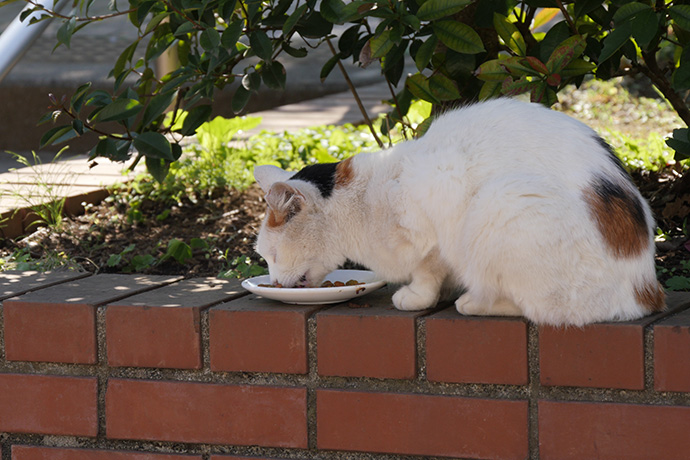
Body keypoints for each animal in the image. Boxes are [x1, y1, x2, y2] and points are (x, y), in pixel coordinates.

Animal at [251, 98, 660, 326]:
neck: (361, 198)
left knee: (542, 309)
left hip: (502, 202)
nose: (274, 282)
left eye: (272, 255)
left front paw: (418, 297)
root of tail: (644, 293)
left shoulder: (433, 221)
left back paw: (475, 302)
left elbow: (427, 270)